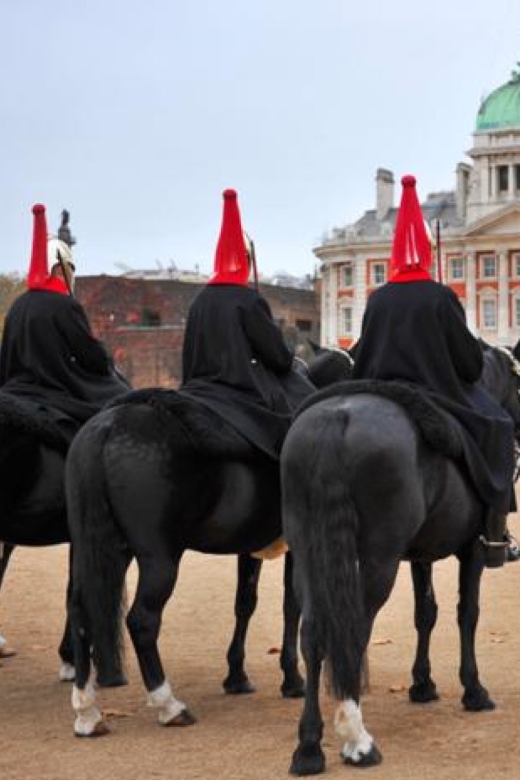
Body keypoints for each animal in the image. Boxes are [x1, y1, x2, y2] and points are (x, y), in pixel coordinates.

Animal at [65, 350, 352, 736]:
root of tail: (109, 426)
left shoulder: (250, 547)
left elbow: (245, 603)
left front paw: (237, 675)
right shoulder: (298, 545)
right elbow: (292, 607)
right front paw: (292, 679)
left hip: (103, 549)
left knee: (81, 611)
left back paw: (87, 710)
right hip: (160, 559)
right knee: (142, 621)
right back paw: (168, 704)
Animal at [282, 342, 520, 772]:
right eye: (519, 384)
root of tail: (336, 416)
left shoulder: (421, 554)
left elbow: (425, 613)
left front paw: (422, 684)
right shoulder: (471, 552)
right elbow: (467, 613)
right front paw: (473, 689)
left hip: (309, 552)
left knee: (312, 631)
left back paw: (309, 747)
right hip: (379, 558)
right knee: (355, 629)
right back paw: (357, 740)